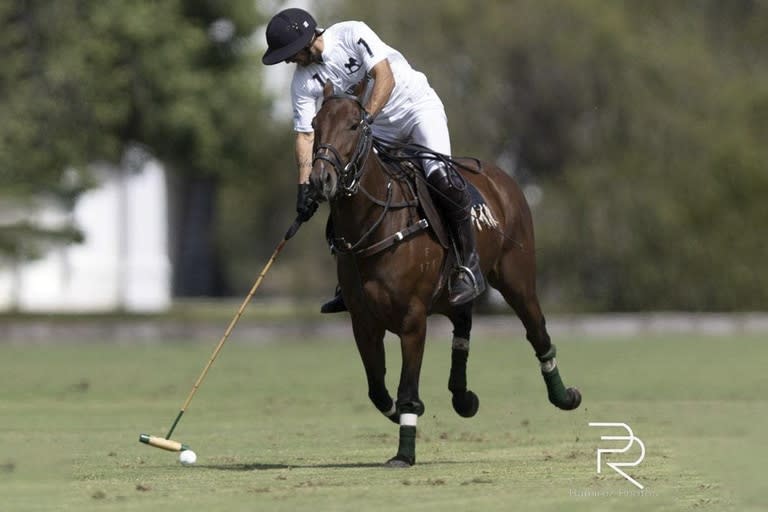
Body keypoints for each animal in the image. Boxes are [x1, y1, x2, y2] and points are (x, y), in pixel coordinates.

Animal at [308, 92, 580, 468]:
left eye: (352, 125)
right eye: (314, 124)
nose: (321, 179)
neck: (376, 223)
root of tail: (502, 177)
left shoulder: (412, 320)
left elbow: (407, 388)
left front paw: (404, 454)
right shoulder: (363, 322)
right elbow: (377, 389)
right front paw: (403, 415)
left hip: (516, 279)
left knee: (537, 331)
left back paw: (564, 396)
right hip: (451, 295)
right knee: (463, 324)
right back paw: (464, 398)